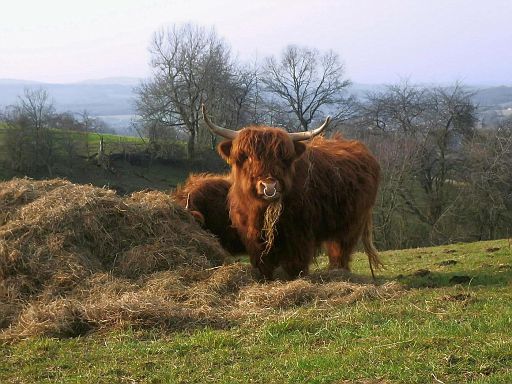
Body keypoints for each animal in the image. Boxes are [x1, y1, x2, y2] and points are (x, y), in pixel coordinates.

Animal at [202, 105, 382, 280]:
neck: (262, 211)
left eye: (282, 158)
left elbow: (296, 267)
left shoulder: (299, 238)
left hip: (351, 225)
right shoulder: (254, 238)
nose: (269, 186)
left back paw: (338, 273)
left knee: (340, 251)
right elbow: (264, 267)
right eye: (248, 157)